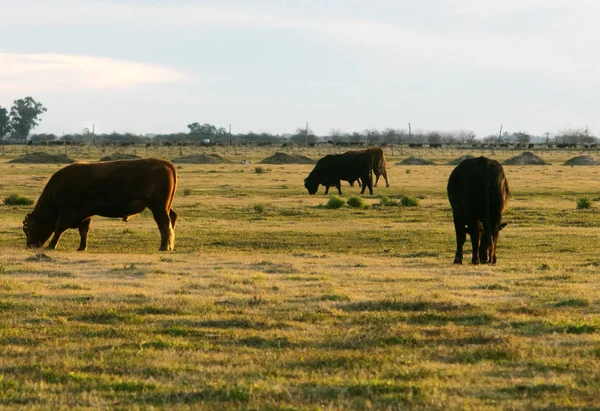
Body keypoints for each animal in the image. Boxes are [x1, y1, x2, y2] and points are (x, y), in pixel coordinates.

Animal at [23, 159, 178, 253]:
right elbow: (83, 231)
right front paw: (81, 247)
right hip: (163, 207)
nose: (30, 246)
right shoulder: (85, 215)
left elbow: (58, 229)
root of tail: (166, 164)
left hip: (158, 207)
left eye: (29, 228)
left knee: (164, 224)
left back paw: (164, 247)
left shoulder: (66, 214)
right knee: (172, 219)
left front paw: (51, 246)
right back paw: (169, 246)